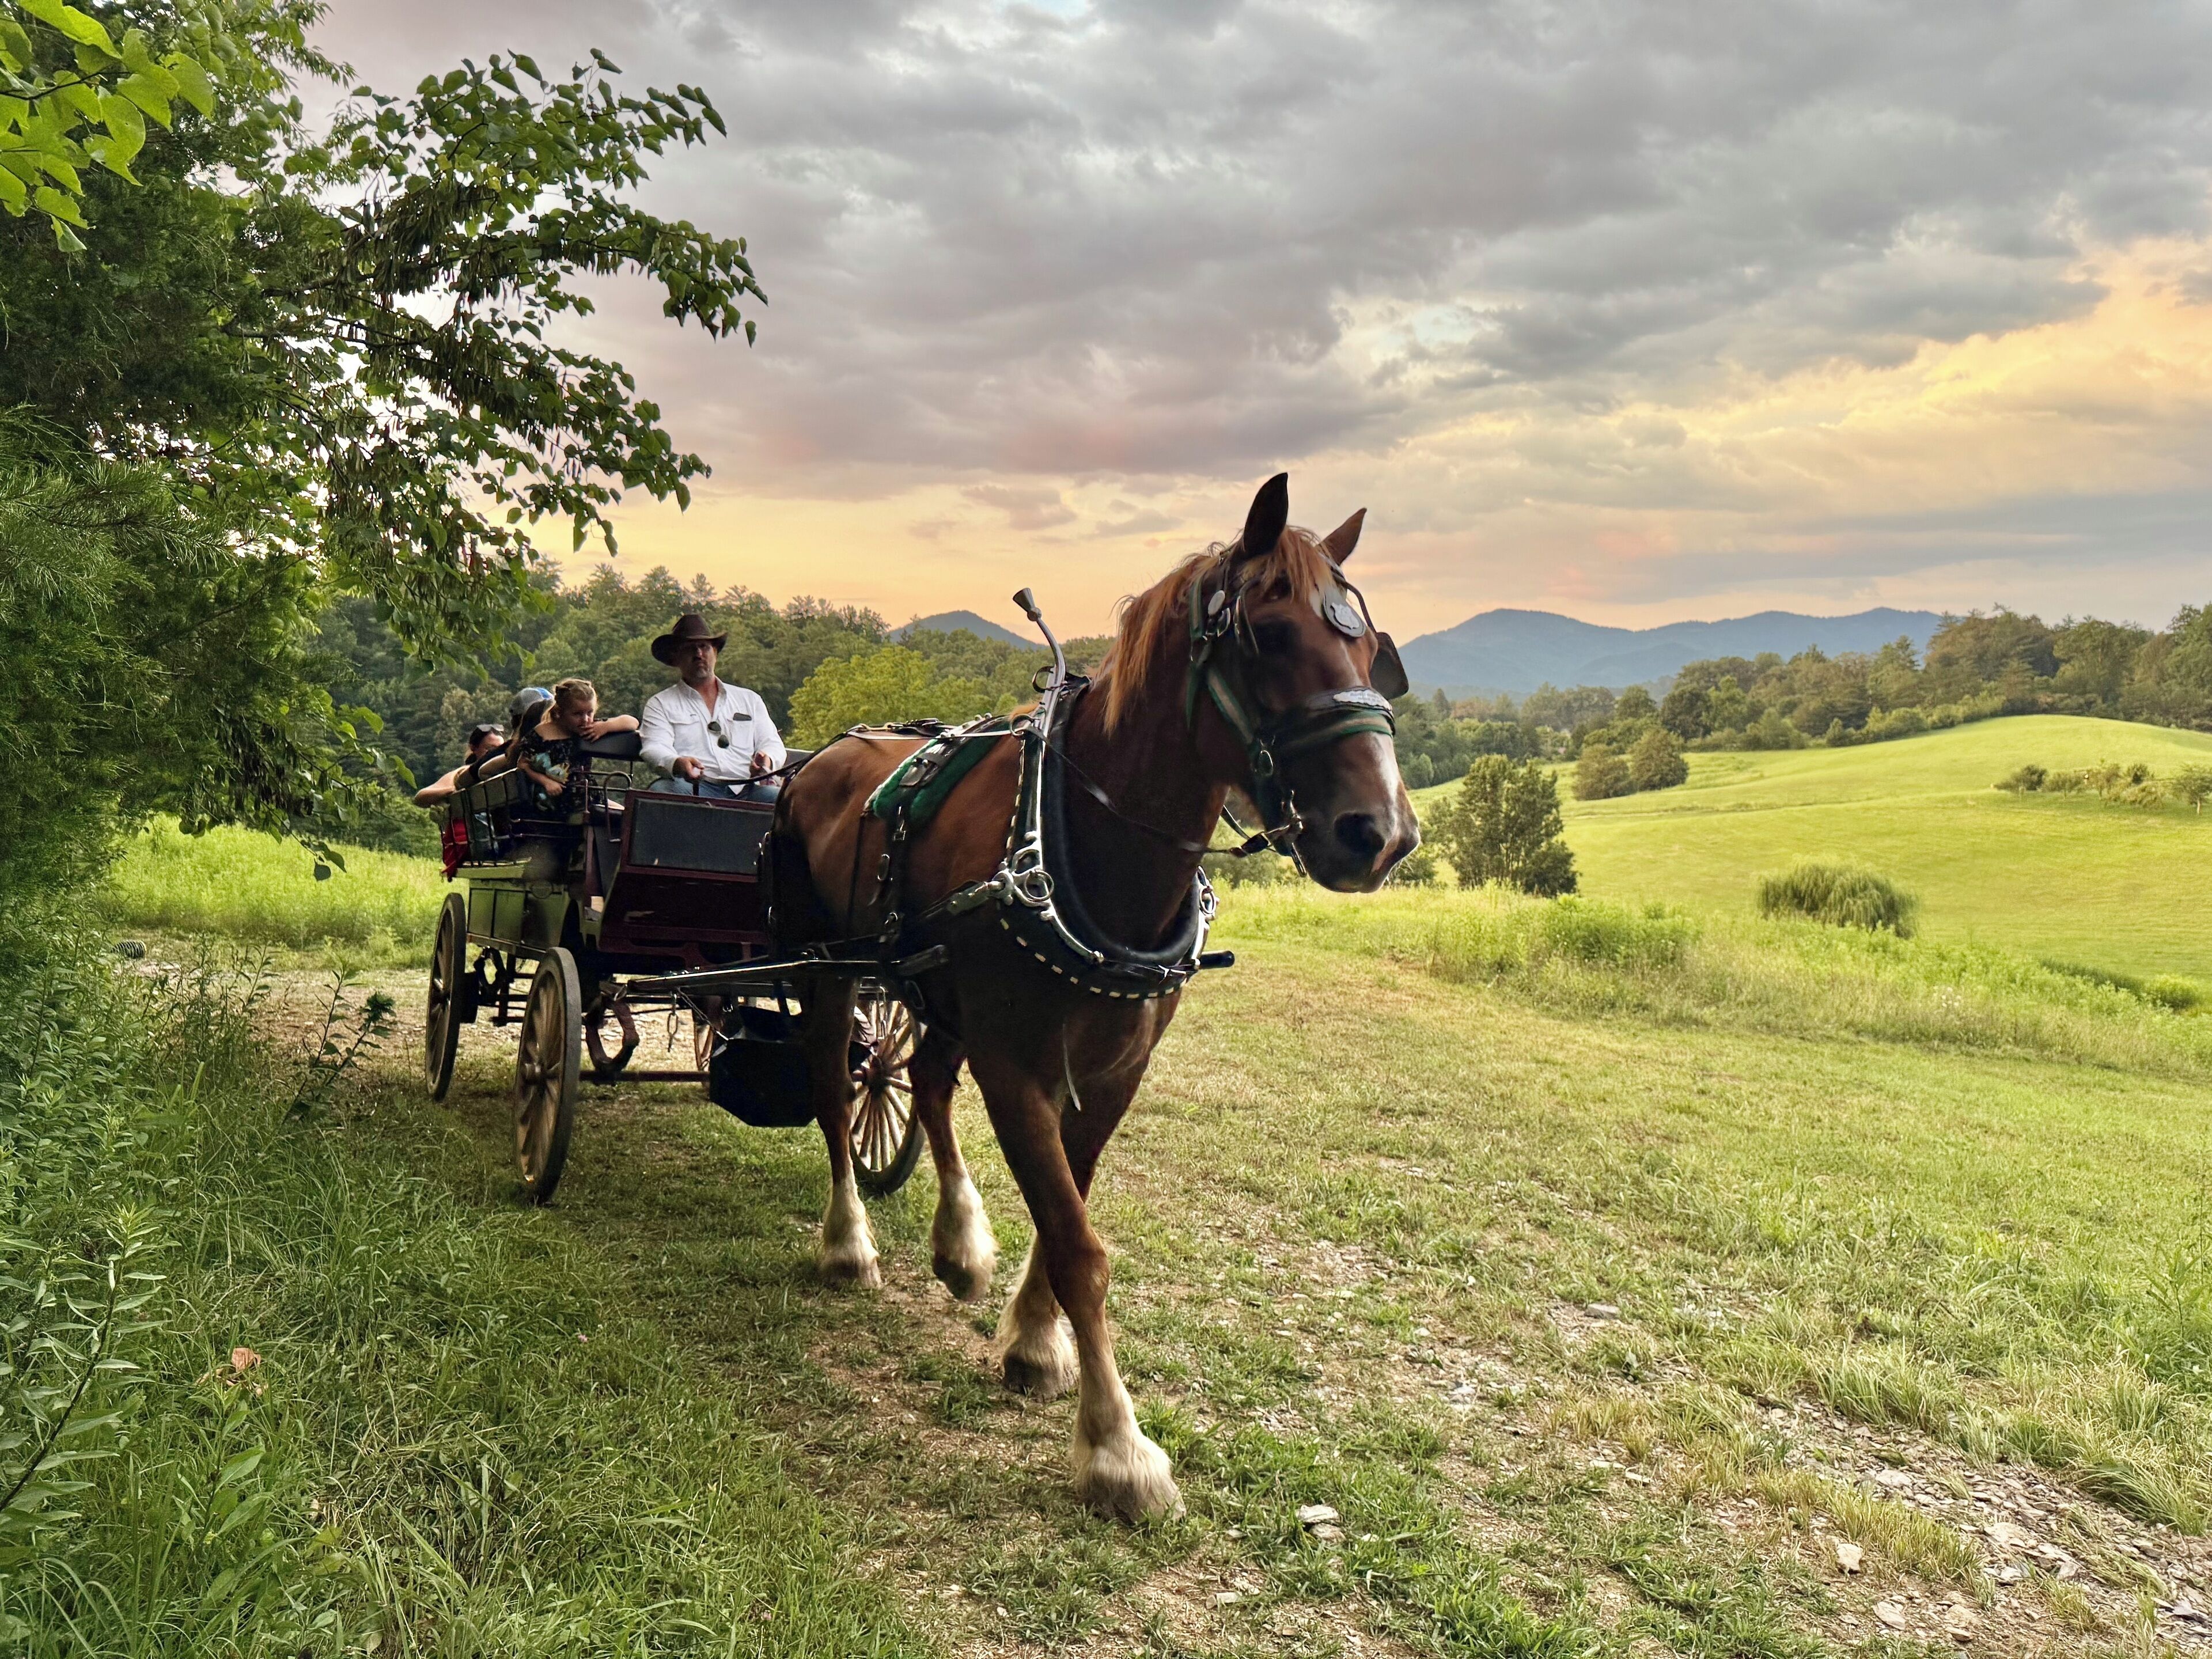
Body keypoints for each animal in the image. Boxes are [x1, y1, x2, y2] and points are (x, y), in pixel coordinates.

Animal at [768, 473, 1418, 1520]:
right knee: (835, 1092)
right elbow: (1079, 1244)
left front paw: (1034, 1343)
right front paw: (1118, 1448)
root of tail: (819, 757)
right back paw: (847, 1243)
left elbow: (1062, 1210)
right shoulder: (1018, 1068)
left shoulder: (1114, 1069)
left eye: (1372, 648)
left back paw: (959, 1242)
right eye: (1271, 635)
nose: (1382, 833)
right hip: (827, 971)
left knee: (929, 1086)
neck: (1089, 838)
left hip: (937, 989)